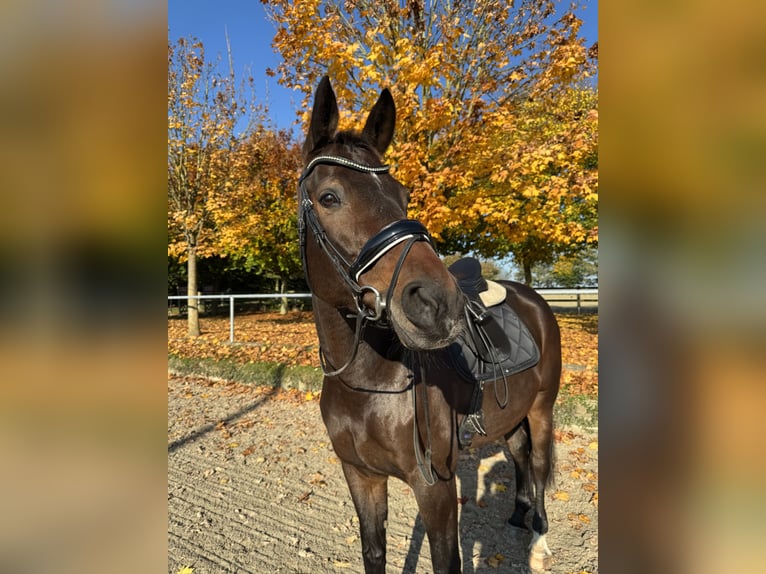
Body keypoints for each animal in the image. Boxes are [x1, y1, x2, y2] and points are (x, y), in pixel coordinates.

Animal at [300, 77, 564, 574]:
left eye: (403, 196)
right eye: (329, 197)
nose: (438, 304)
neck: (367, 385)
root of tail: (534, 299)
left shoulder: (436, 488)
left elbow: (446, 560)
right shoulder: (361, 476)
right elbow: (374, 552)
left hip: (542, 409)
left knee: (538, 464)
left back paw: (538, 541)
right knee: (519, 455)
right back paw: (517, 516)